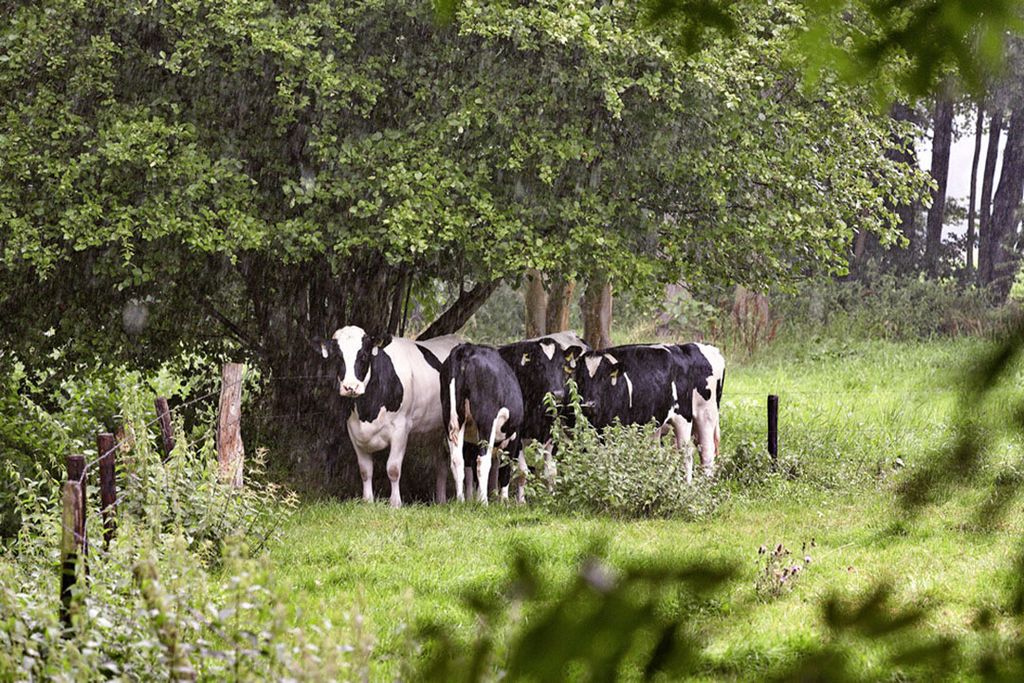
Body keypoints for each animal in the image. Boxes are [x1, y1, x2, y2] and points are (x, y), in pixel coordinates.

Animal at [317, 325, 462, 507]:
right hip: (435, 430)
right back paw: (441, 501)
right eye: (338, 357)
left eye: (363, 356)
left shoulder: (401, 429)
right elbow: (365, 470)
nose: (351, 387)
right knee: (442, 463)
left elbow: (393, 468)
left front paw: (395, 503)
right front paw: (368, 501)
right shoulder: (353, 430)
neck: (368, 411)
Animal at [440, 344, 524, 505]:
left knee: (457, 460)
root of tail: (465, 349)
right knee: (483, 461)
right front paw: (504, 502)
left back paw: (461, 501)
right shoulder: (514, 436)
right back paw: (483, 502)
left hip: (451, 418)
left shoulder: (471, 442)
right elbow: (505, 468)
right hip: (487, 420)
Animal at [573, 344, 724, 483]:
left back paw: (695, 484)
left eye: (603, 378)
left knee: (696, 452)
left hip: (698, 414)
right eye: (580, 379)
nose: (589, 404)